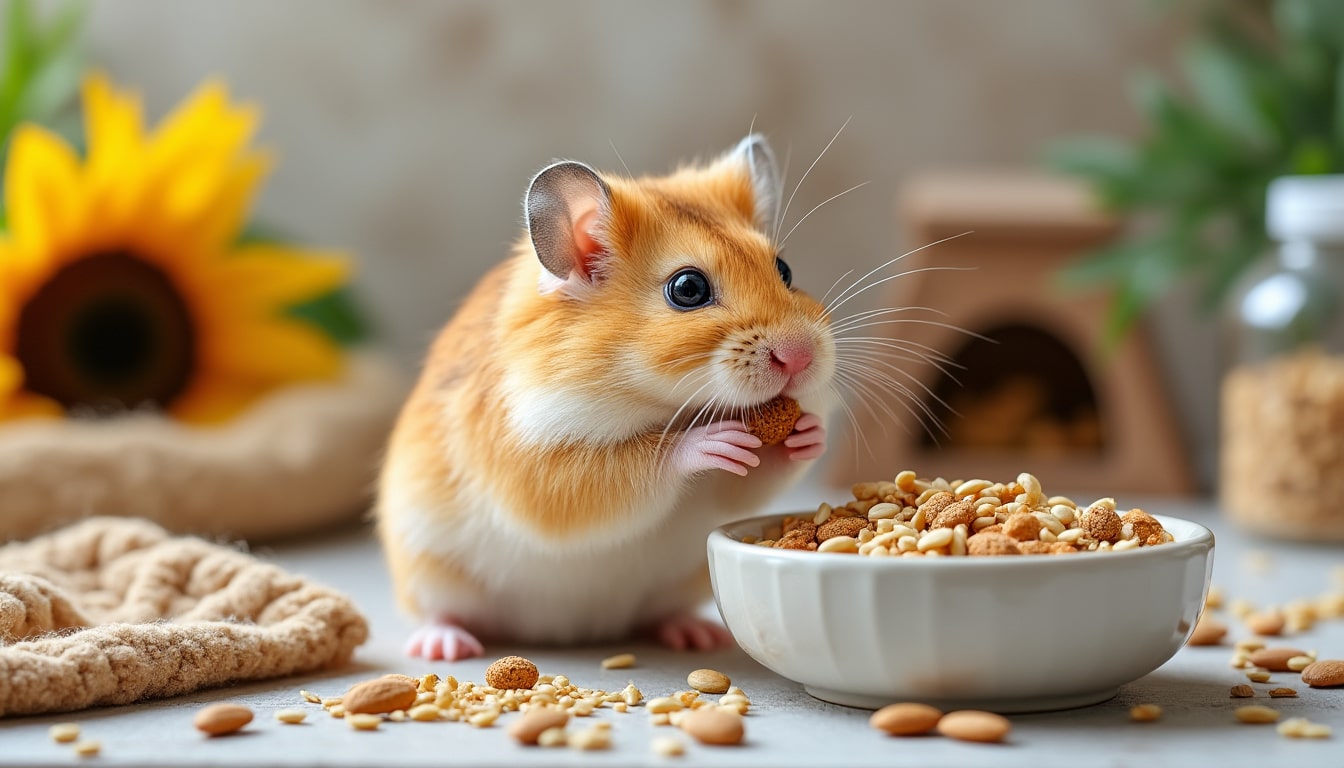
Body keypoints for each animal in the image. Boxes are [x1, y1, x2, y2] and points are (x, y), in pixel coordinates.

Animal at [376, 134, 836, 660]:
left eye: (785, 268)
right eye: (688, 288)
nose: (800, 358)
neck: (649, 400)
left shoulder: (731, 490)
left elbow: (753, 480)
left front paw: (810, 432)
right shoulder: (533, 465)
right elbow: (637, 464)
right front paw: (711, 441)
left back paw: (696, 635)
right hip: (426, 569)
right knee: (440, 612)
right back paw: (445, 646)